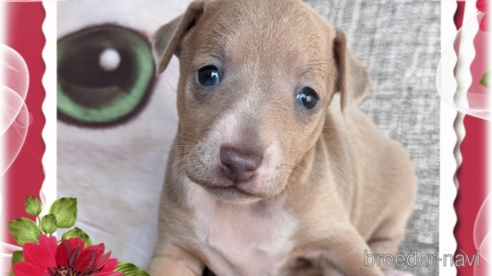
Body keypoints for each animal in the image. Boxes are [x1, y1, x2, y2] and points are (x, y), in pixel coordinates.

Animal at [149, 0, 416, 276]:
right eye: (207, 74)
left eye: (308, 98)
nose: (239, 162)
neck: (244, 209)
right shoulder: (174, 252)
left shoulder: (342, 243)